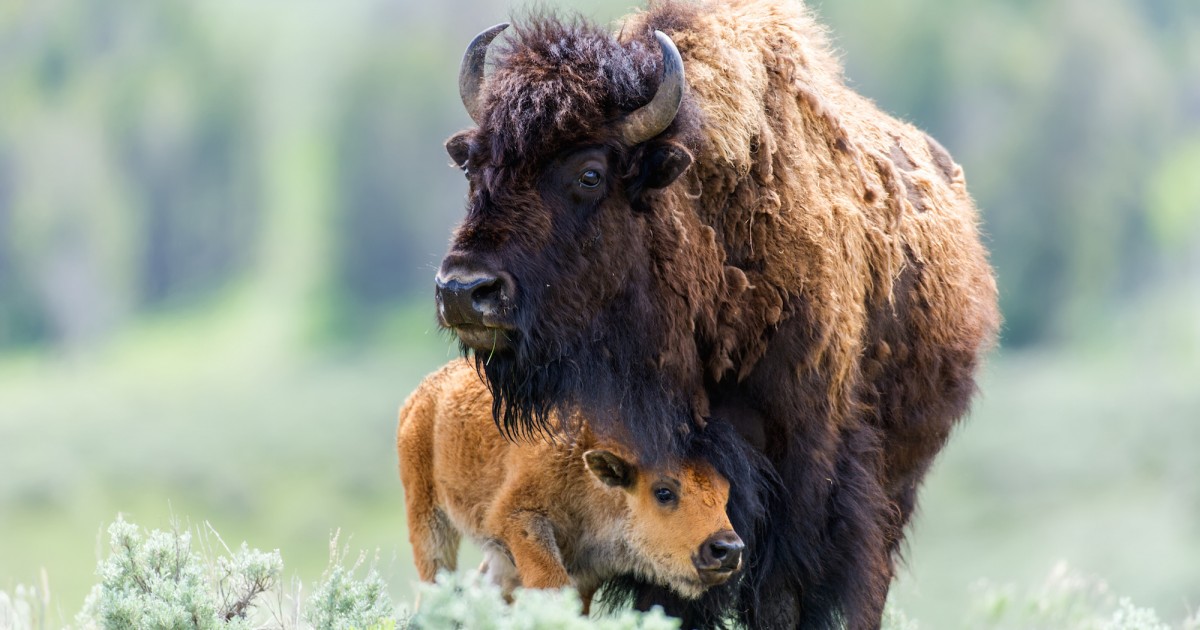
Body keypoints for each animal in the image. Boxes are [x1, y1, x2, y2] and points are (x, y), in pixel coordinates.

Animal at [397, 359, 768, 615]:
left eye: (724, 493)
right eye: (664, 492)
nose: (728, 549)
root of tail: (420, 397)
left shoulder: (589, 571)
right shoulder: (517, 518)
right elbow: (549, 585)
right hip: (428, 517)